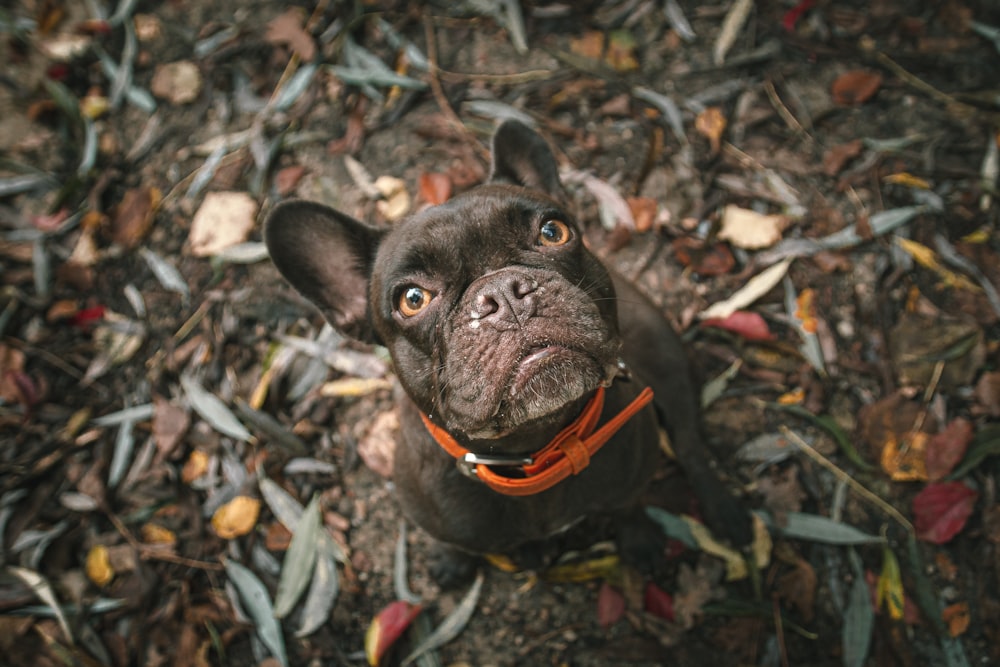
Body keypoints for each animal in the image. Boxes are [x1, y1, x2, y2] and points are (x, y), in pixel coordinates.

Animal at [266, 120, 752, 584]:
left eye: (553, 232)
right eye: (412, 299)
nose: (503, 293)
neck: (534, 451)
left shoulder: (632, 478)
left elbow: (629, 508)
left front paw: (641, 543)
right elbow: (453, 542)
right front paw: (450, 561)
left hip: (667, 362)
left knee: (689, 443)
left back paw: (727, 514)